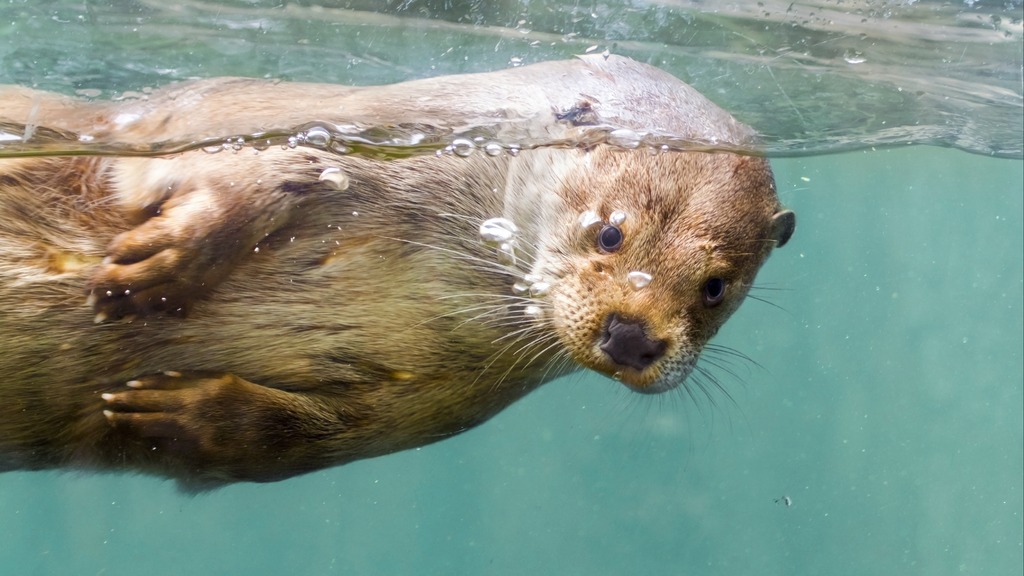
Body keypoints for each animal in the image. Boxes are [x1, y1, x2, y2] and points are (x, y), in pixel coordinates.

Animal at [0, 55, 794, 491]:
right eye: (610, 231)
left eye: (716, 287)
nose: (632, 337)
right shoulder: (262, 122)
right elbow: (247, 174)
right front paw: (159, 267)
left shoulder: (445, 402)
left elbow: (309, 440)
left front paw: (185, 414)